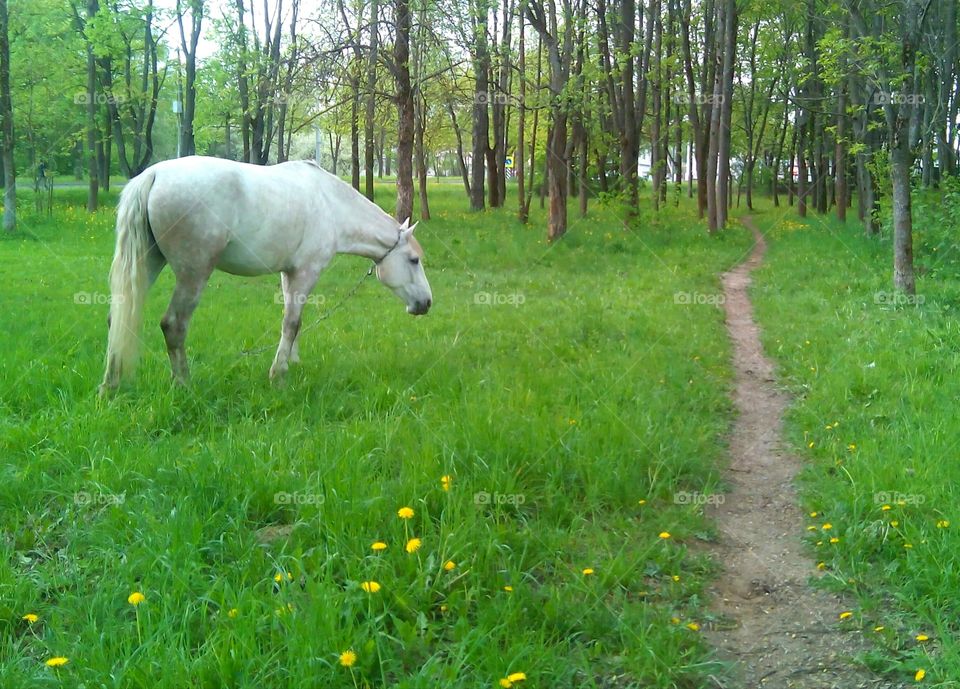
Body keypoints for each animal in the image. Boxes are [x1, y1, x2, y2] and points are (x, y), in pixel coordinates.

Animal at [99, 156, 430, 392]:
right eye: (413, 260)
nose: (426, 303)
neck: (331, 205)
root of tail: (154, 175)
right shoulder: (306, 272)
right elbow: (291, 323)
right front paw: (278, 375)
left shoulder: (289, 274)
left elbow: (294, 321)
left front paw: (292, 362)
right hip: (193, 274)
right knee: (173, 325)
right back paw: (183, 384)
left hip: (148, 264)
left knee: (118, 317)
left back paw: (110, 385)